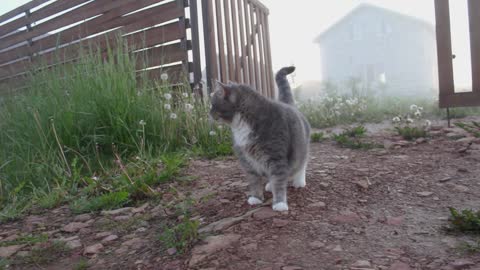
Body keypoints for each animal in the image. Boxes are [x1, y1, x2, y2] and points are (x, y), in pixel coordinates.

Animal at [210, 67, 312, 211]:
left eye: (213, 104)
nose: (209, 113)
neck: (242, 124)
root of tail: (288, 104)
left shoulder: (276, 158)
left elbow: (279, 181)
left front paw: (280, 203)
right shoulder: (247, 161)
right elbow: (254, 181)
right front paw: (256, 198)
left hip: (302, 147)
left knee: (302, 163)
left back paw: (299, 181)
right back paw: (269, 185)